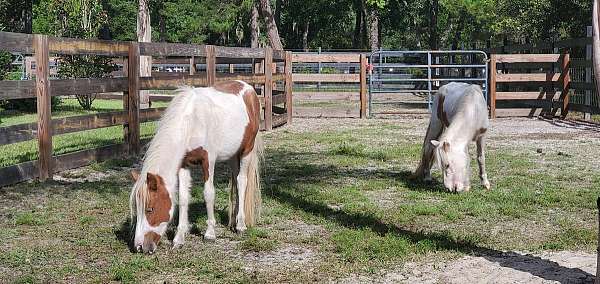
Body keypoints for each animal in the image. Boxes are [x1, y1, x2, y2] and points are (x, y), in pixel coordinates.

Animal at [129, 79, 262, 253]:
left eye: (150, 209)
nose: (139, 247)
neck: (192, 121)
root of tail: (249, 89)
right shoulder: (184, 164)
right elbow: (183, 198)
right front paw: (179, 238)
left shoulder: (208, 161)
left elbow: (208, 194)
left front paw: (210, 233)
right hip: (233, 155)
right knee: (235, 181)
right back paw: (233, 222)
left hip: (247, 150)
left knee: (241, 181)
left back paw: (240, 225)